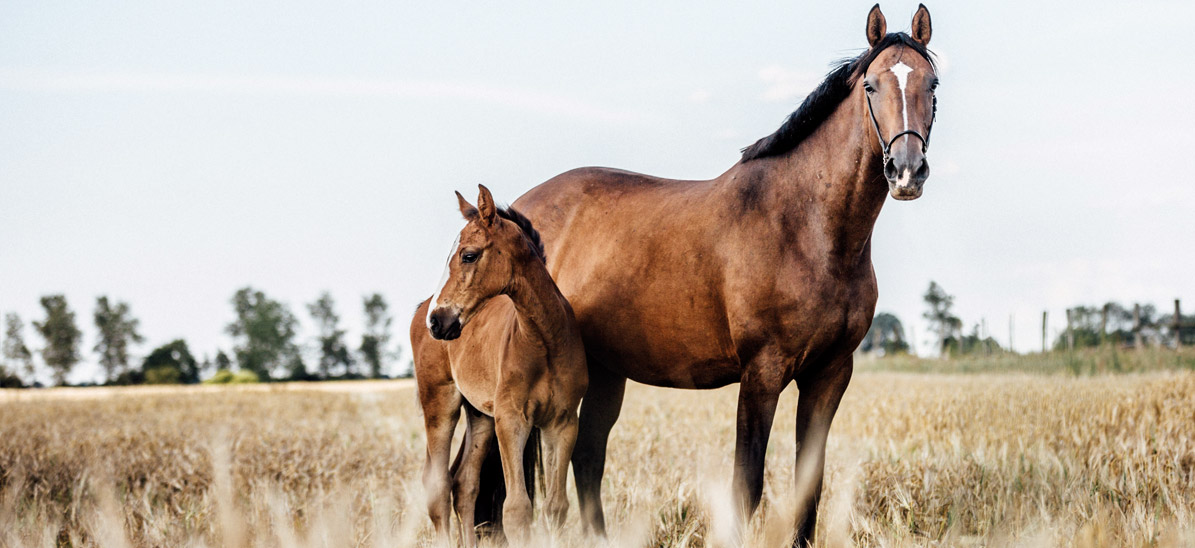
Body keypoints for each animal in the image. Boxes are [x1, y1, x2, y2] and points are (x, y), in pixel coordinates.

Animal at [408, 186, 585, 546]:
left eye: (468, 255)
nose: (438, 321)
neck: (545, 341)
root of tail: (420, 308)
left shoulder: (562, 423)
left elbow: (556, 506)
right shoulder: (512, 420)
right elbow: (517, 509)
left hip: (481, 416)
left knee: (464, 483)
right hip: (440, 403)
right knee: (438, 486)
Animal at [499, 3, 936, 544]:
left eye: (933, 84)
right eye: (872, 86)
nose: (906, 171)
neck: (808, 227)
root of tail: (517, 210)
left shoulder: (830, 373)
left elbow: (809, 486)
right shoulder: (762, 373)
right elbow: (746, 484)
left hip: (604, 368)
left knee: (587, 457)